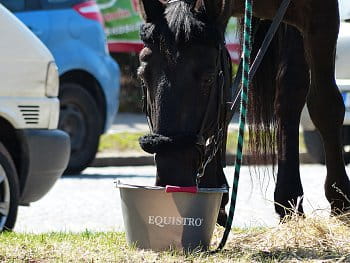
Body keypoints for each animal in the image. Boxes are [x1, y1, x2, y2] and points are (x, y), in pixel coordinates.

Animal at [136, 0, 350, 227]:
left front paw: (339, 198)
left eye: (208, 78)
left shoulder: (320, 16)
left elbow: (324, 104)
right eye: (142, 76)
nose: (171, 174)